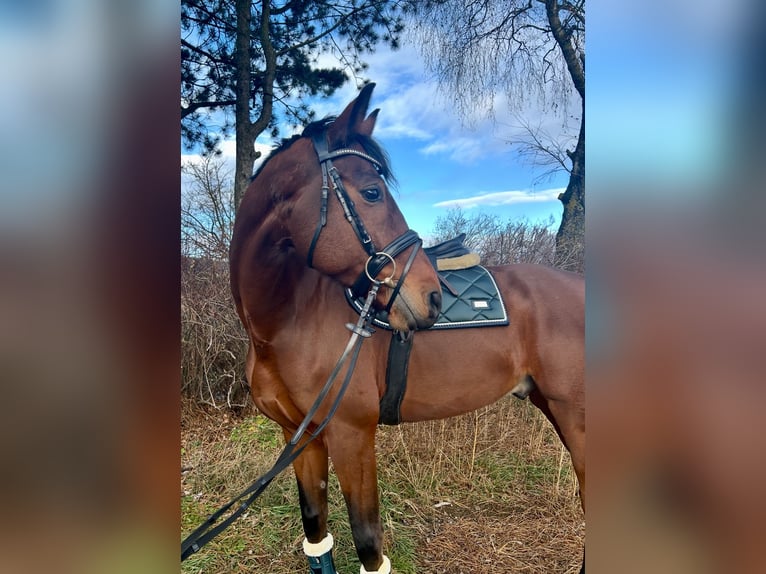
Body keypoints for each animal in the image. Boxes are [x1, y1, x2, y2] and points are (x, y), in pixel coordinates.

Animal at [230, 83, 588, 572]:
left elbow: (368, 545)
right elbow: (316, 534)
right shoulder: (298, 439)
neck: (283, 325)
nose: (432, 297)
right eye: (371, 192)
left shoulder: (351, 436)